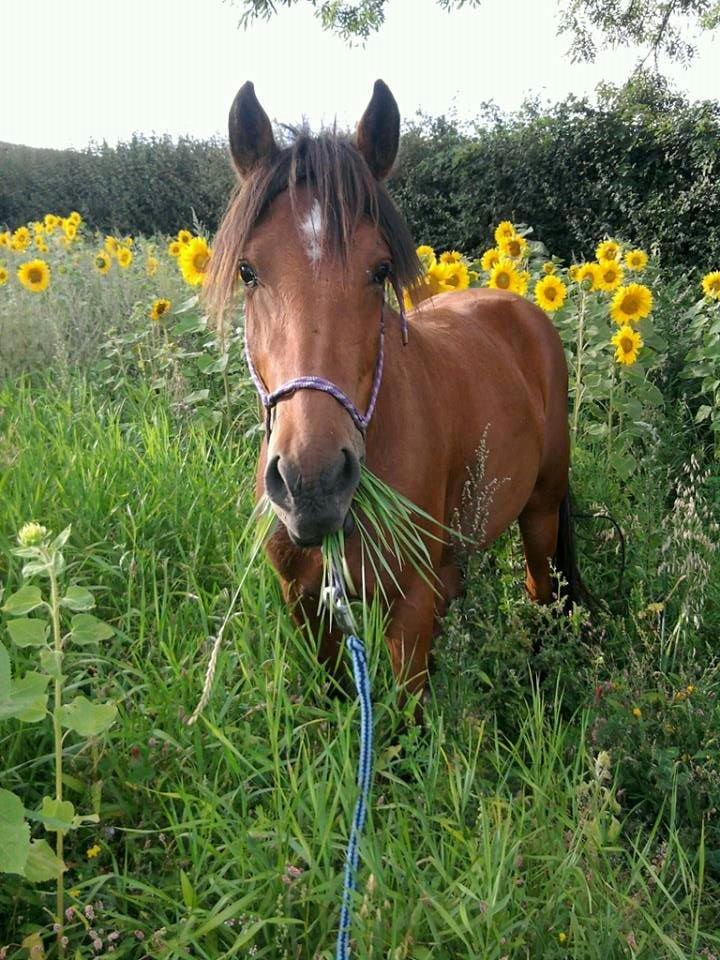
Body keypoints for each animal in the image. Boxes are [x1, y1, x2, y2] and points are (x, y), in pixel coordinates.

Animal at [204, 80, 580, 712]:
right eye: (248, 272)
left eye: (380, 270)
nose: (313, 483)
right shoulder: (309, 610)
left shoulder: (408, 609)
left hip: (541, 511)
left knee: (540, 589)